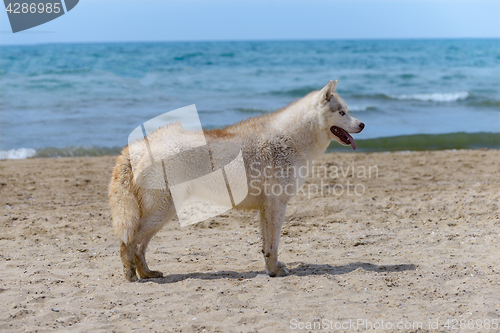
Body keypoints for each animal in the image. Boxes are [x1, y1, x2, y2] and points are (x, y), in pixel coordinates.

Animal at [109, 80, 364, 280]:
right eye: (342, 113)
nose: (362, 124)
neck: (292, 139)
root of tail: (138, 147)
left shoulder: (266, 208)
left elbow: (267, 247)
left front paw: (271, 270)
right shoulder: (277, 205)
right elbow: (274, 245)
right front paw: (275, 271)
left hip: (161, 215)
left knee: (139, 247)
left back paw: (147, 273)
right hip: (162, 212)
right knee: (128, 242)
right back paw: (131, 274)